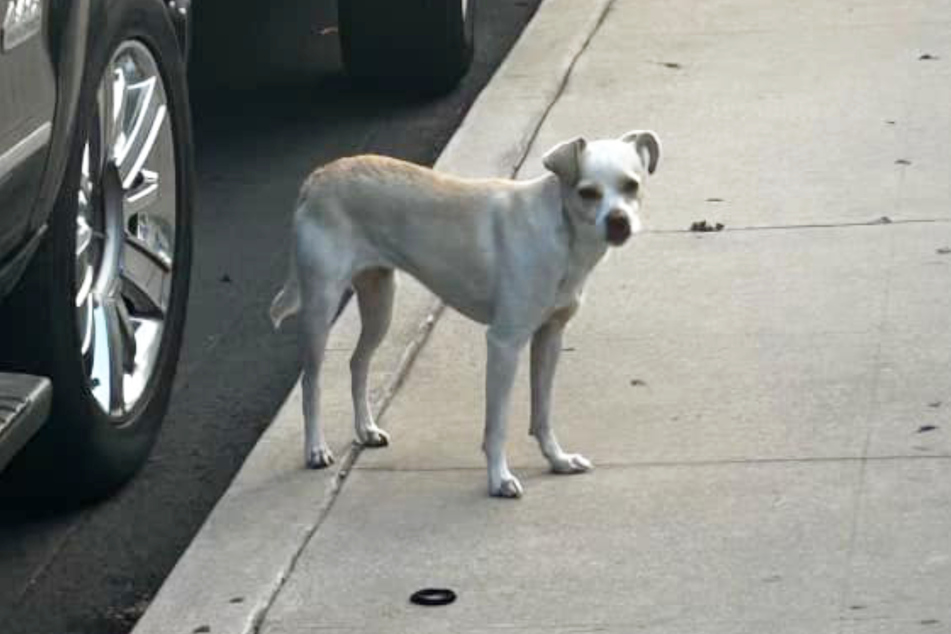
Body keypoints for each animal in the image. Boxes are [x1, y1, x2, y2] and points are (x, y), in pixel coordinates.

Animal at [270, 131, 660, 496]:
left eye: (631, 185)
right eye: (587, 192)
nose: (619, 221)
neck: (563, 236)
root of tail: (319, 176)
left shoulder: (549, 337)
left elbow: (543, 414)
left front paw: (558, 460)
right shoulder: (504, 344)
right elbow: (497, 425)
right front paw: (499, 479)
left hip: (380, 301)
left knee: (358, 362)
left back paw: (365, 429)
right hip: (321, 306)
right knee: (312, 381)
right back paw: (315, 449)